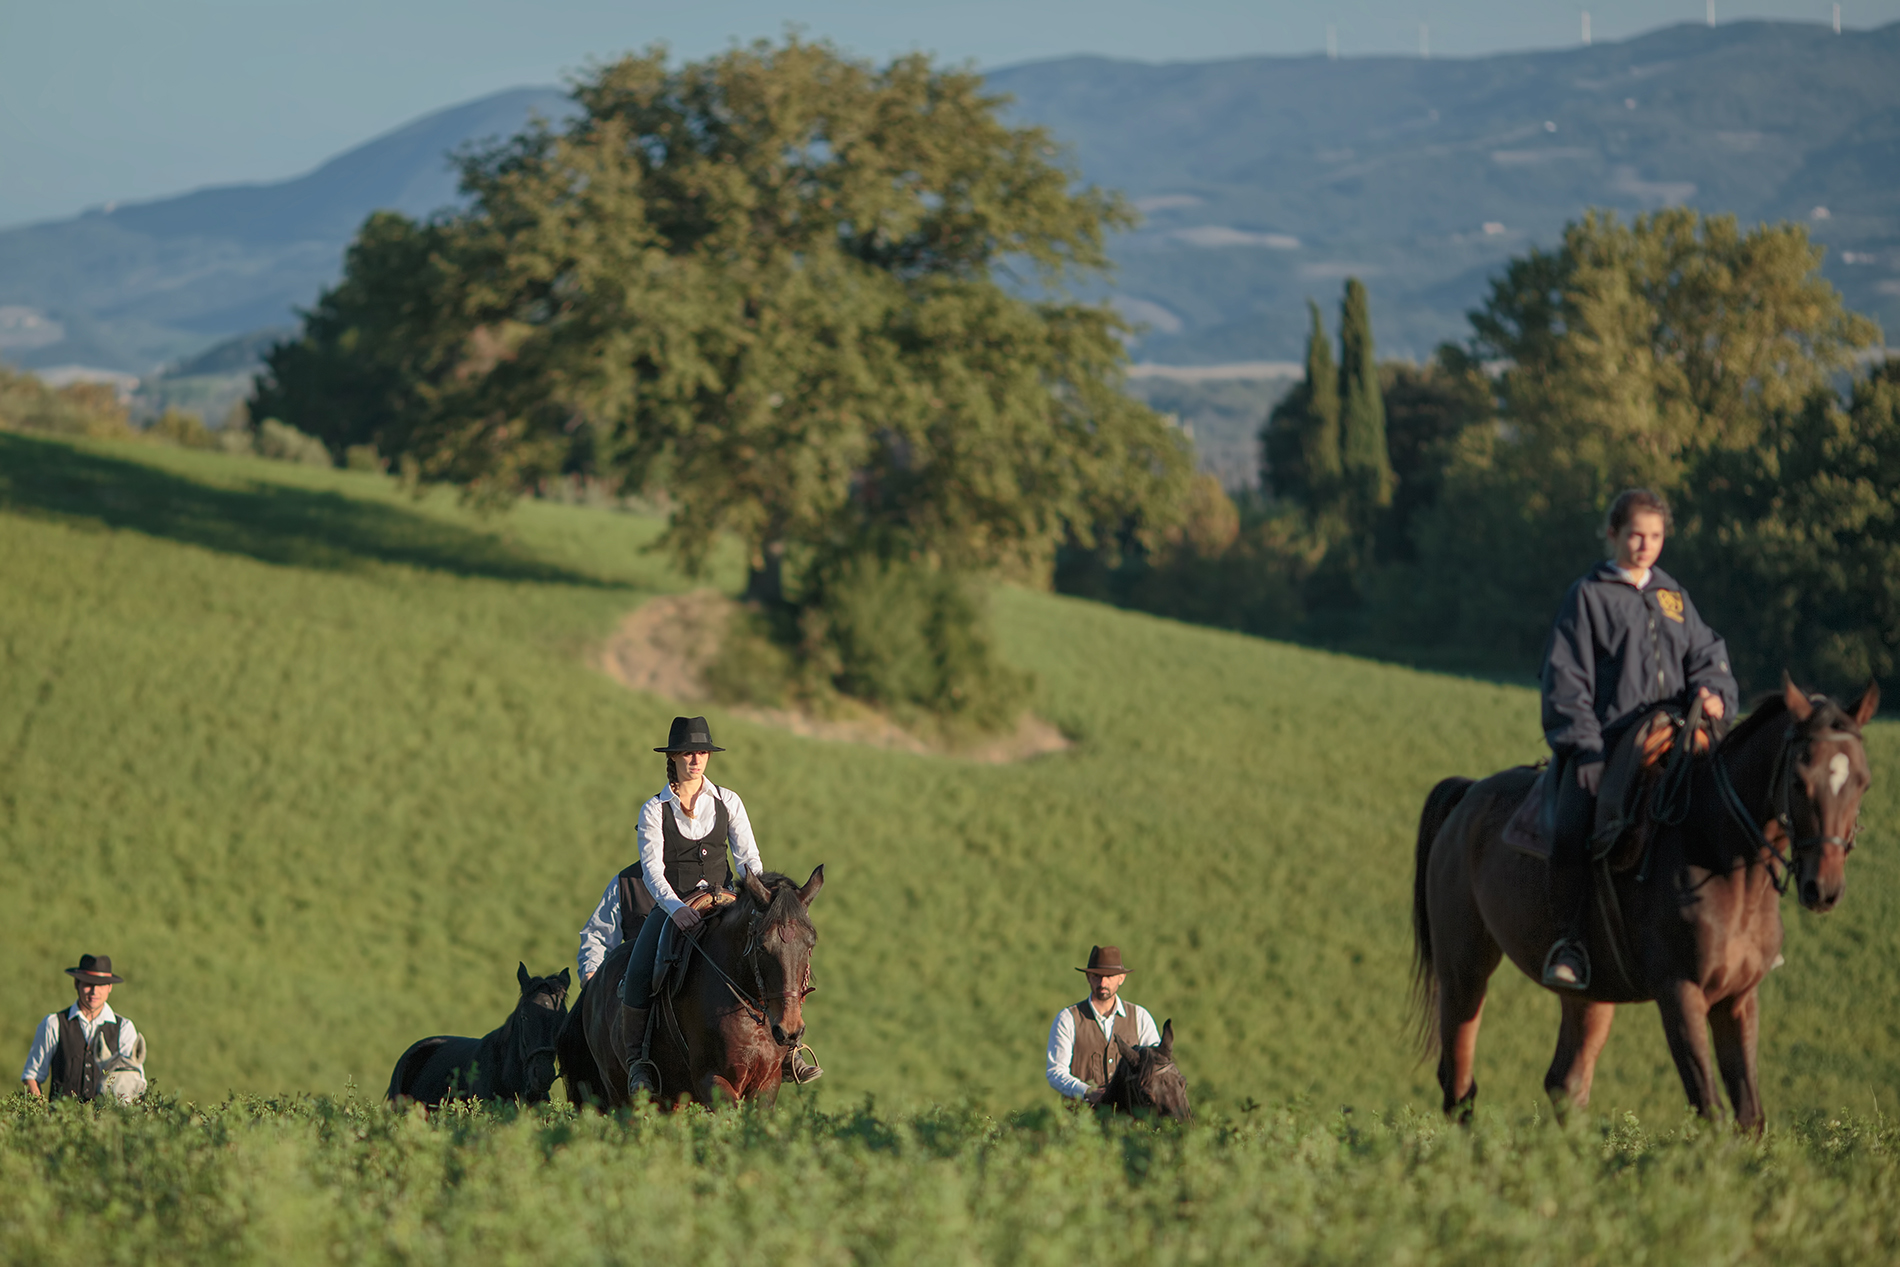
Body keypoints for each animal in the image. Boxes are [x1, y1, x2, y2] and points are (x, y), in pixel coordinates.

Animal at [570, 873, 824, 1109]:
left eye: (810, 945)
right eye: (762, 946)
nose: (789, 1030)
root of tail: (593, 983)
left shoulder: (767, 1083)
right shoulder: (711, 1079)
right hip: (619, 1093)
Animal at [1413, 680, 1869, 1132]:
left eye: (1862, 782)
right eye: (1799, 781)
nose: (1823, 889)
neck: (1720, 859)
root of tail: (1469, 794)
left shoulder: (1738, 999)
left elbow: (1749, 1115)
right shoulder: (1679, 993)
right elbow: (1710, 1109)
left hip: (1588, 993)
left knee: (1566, 1083)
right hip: (1464, 969)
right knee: (1459, 1084)